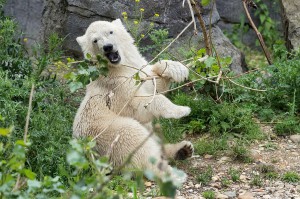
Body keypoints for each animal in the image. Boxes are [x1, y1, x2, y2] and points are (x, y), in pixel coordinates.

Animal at [74, 19, 193, 180]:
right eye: (95, 40)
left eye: (110, 32)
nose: (107, 47)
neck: (119, 66)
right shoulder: (116, 85)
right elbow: (140, 105)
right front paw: (181, 110)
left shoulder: (137, 71)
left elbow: (153, 83)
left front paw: (177, 69)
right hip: (107, 133)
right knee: (136, 142)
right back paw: (172, 173)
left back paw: (183, 149)